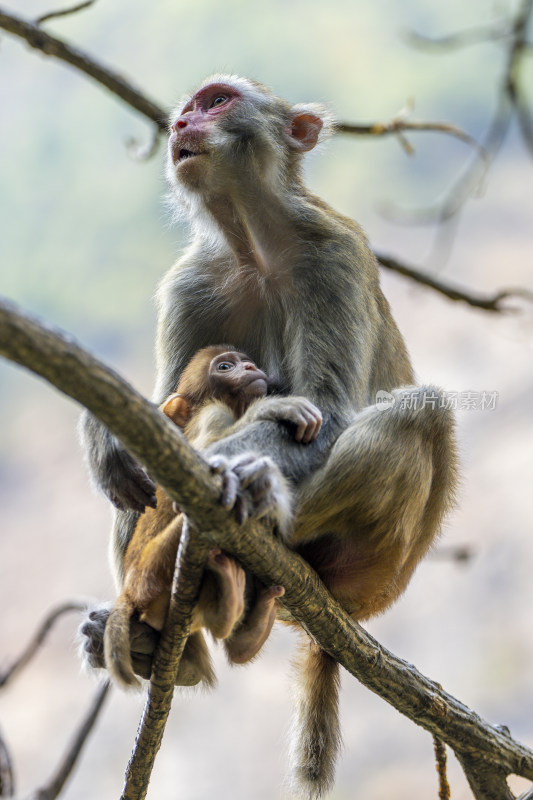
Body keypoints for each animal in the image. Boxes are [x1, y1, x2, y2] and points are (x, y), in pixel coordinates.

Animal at [104, 344, 320, 688]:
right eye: (225, 367)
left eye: (247, 362)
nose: (249, 367)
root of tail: (127, 592)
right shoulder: (213, 413)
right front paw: (272, 408)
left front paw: (266, 487)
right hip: (149, 575)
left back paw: (243, 626)